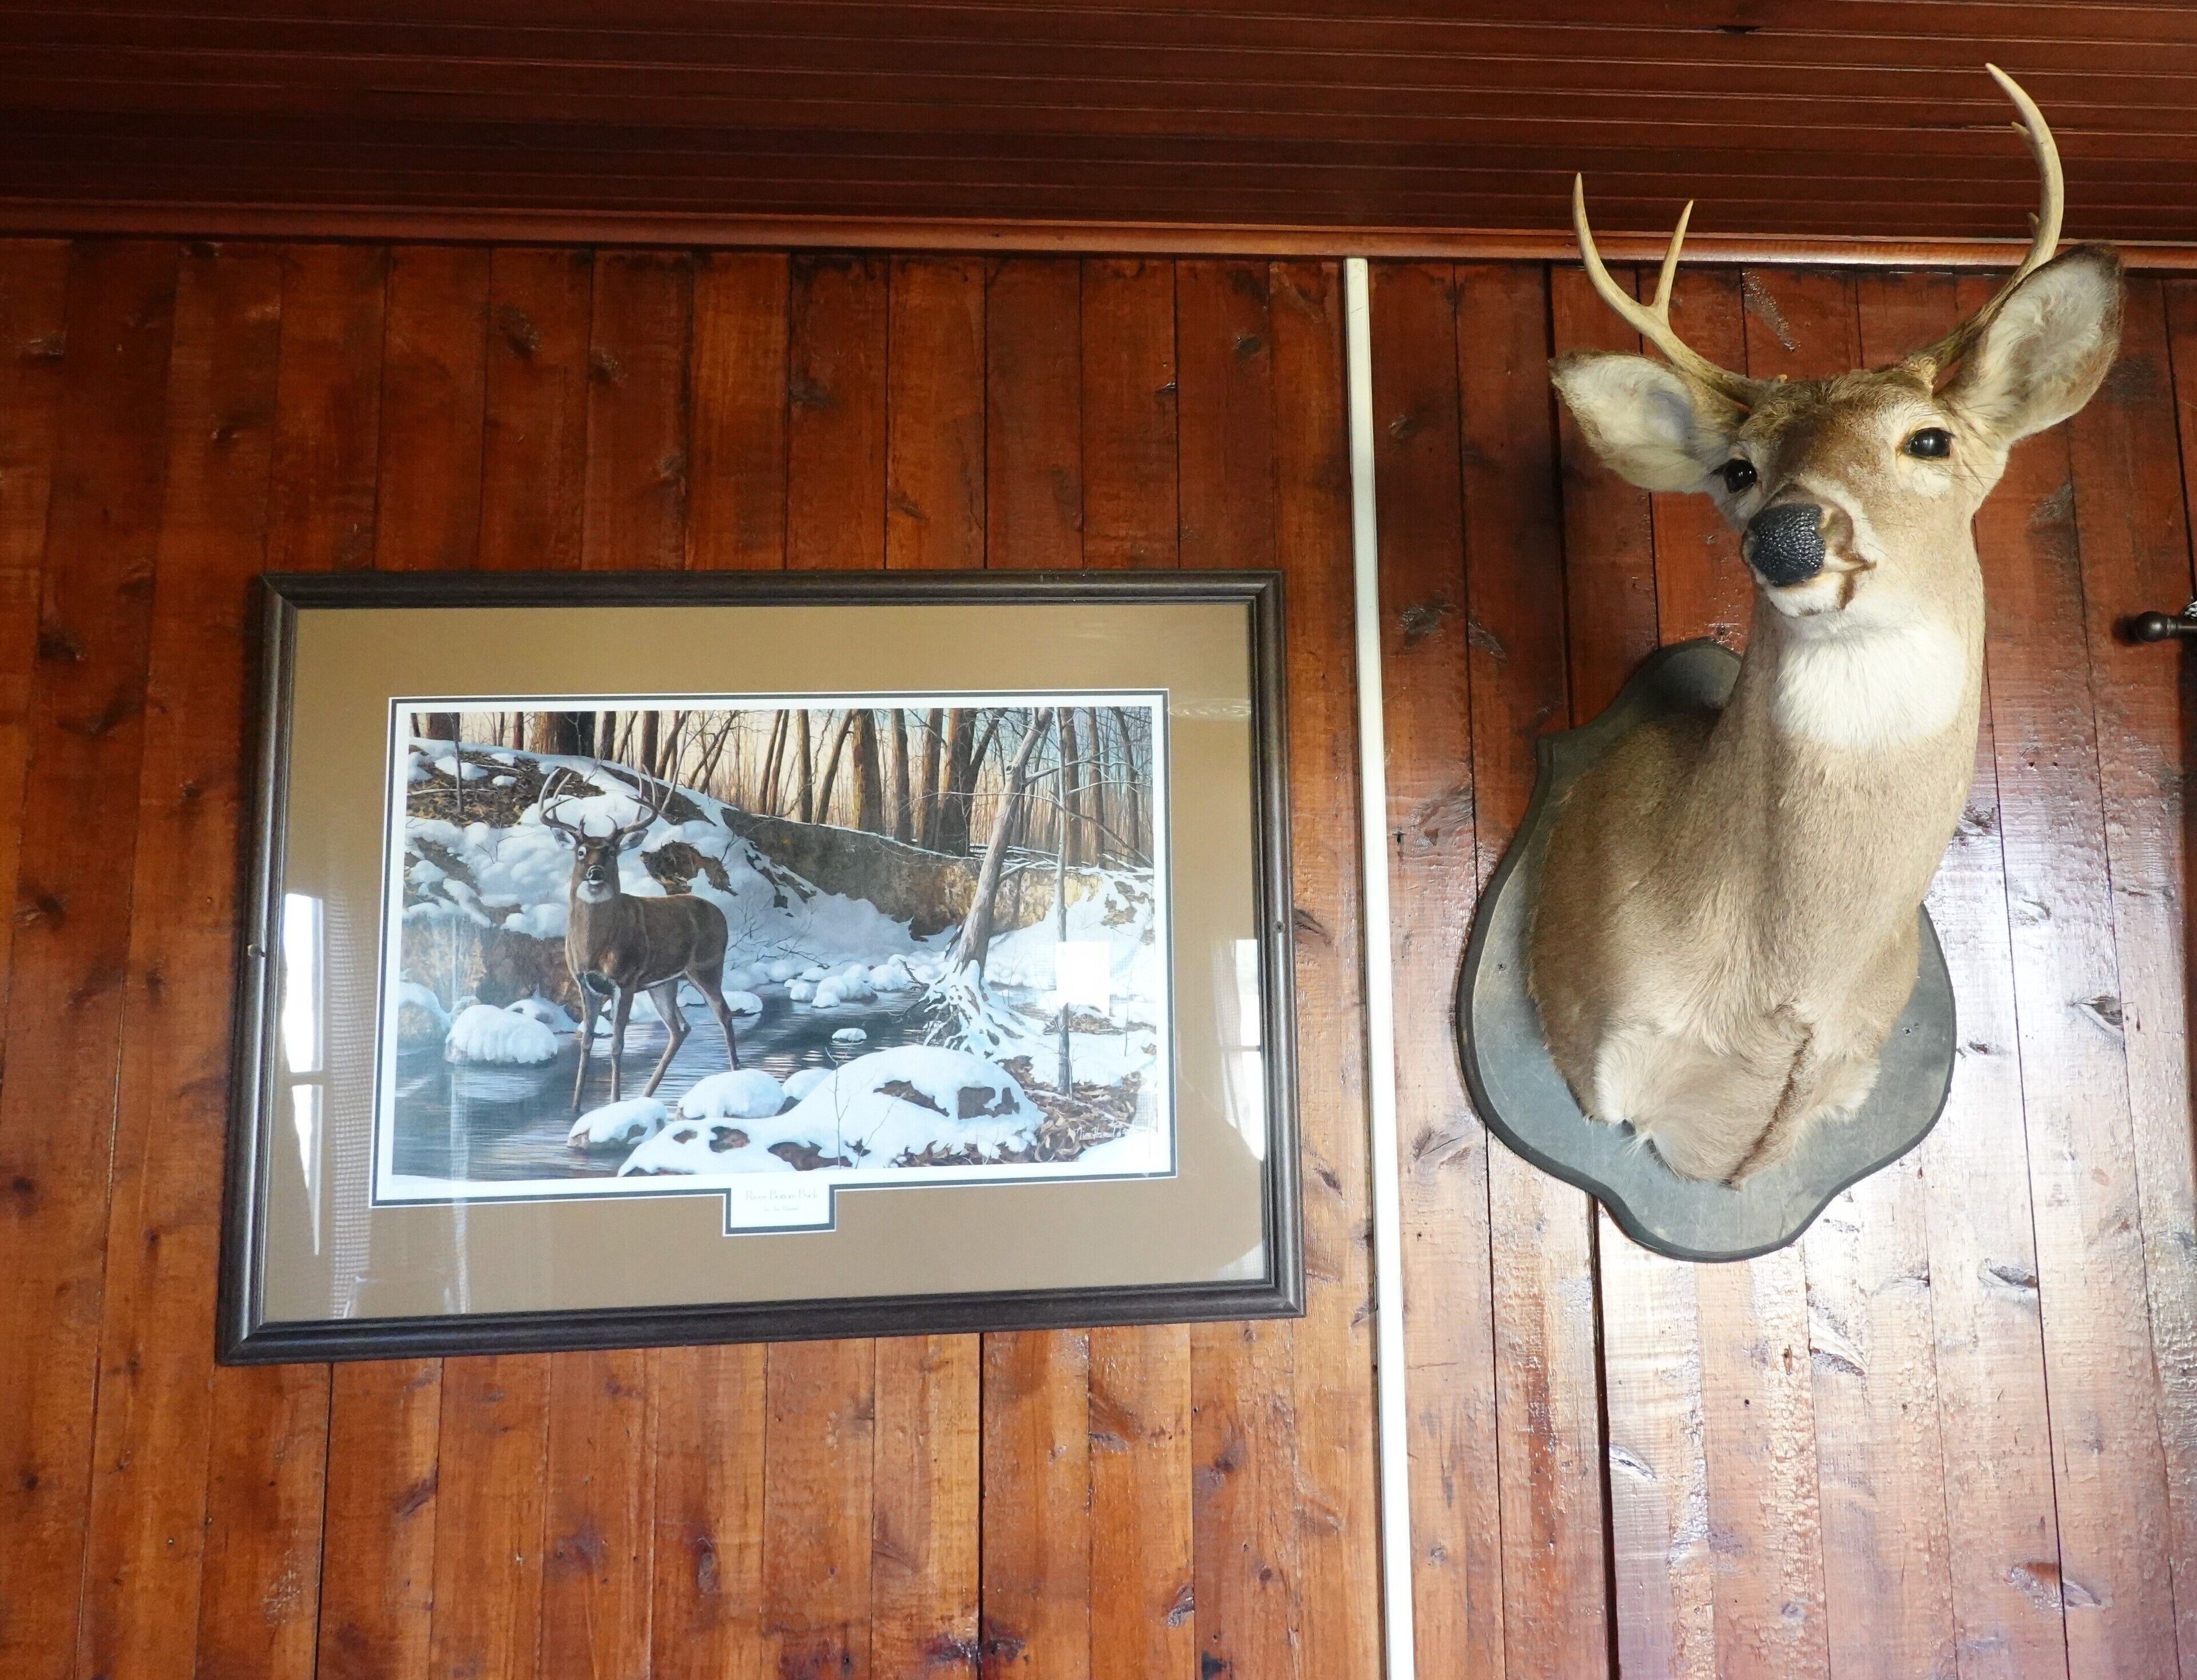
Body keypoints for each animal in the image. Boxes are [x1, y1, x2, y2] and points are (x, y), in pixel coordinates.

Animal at [537, 766, 744, 1113]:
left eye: (610, 852)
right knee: (680, 1028)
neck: (595, 947)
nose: (594, 872)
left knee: (724, 1015)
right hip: (665, 983)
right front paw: (576, 1107)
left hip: (707, 967)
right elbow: (587, 1041)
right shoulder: (585, 982)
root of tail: (719, 912)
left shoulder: (626, 979)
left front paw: (613, 1103)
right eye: (581, 852)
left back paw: (734, 1075)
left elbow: (617, 1043)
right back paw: (646, 1096)